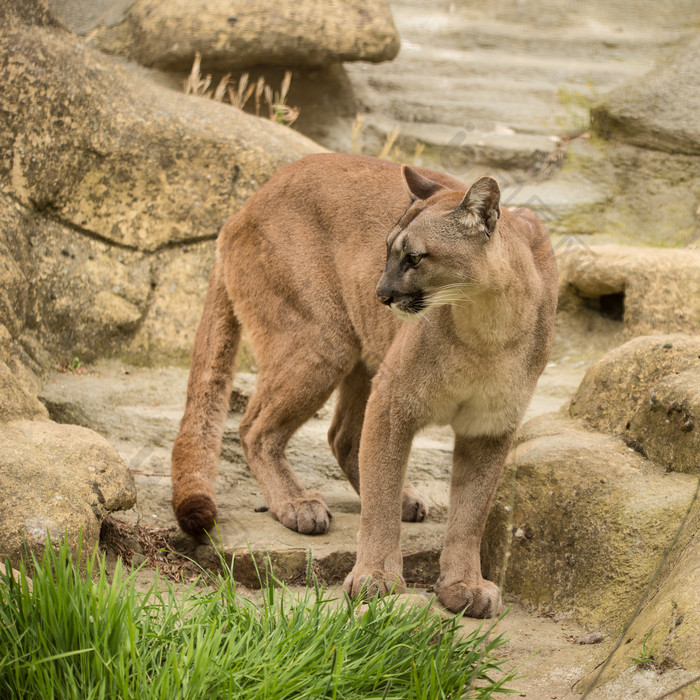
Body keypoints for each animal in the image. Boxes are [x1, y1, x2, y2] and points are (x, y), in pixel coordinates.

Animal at [174, 154, 556, 616]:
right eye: (386, 250)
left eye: (414, 258)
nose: (381, 293)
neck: (486, 325)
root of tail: (242, 208)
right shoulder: (394, 402)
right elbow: (380, 500)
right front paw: (376, 577)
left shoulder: (489, 428)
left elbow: (471, 514)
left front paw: (463, 584)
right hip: (323, 340)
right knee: (255, 428)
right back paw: (296, 504)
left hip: (361, 352)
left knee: (342, 436)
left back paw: (400, 499)